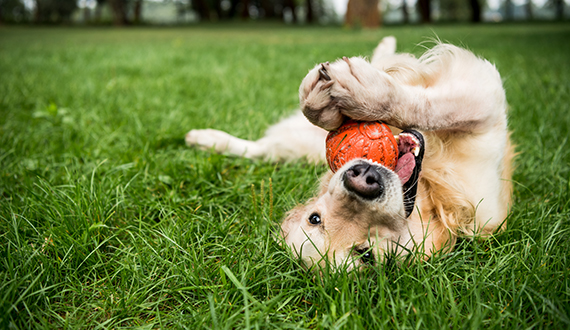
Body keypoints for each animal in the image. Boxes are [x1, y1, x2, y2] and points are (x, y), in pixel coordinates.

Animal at [186, 36, 516, 268]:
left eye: (314, 218)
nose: (362, 179)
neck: (431, 193)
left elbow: (430, 106)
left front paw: (357, 94)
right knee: (262, 149)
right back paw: (205, 139)